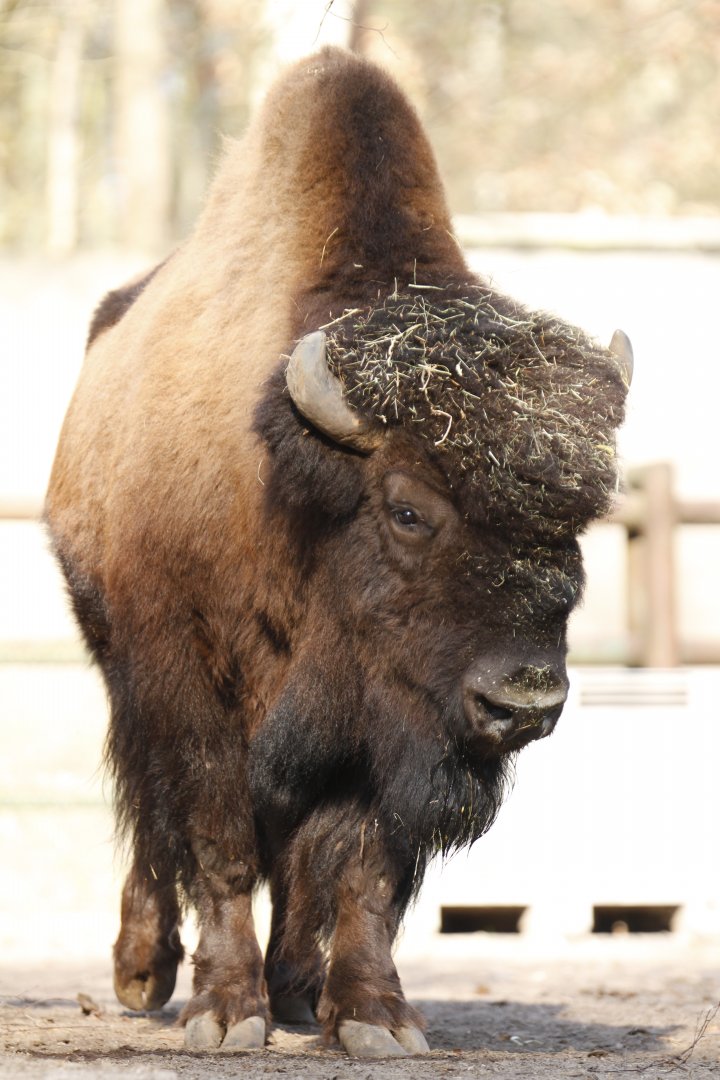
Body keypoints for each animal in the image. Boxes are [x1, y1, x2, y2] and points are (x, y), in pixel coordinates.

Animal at [45, 48, 631, 1057]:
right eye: (407, 510)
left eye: (578, 521)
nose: (522, 701)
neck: (292, 492)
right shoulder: (185, 673)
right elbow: (216, 831)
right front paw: (221, 1014)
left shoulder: (383, 728)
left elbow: (358, 865)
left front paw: (371, 1017)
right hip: (115, 654)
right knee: (150, 814)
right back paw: (145, 971)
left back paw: (290, 986)